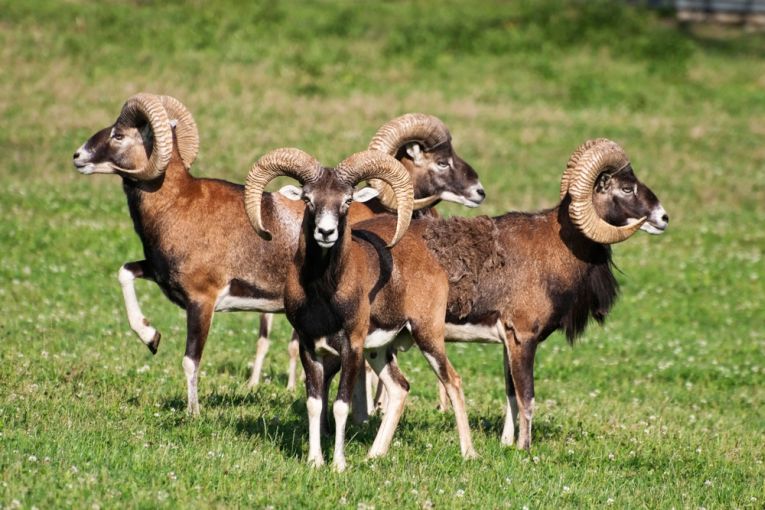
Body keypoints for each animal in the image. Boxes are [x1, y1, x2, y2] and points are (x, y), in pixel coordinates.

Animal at [72, 94, 484, 416]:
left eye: (118, 134)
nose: (78, 156)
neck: (176, 205)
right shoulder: (157, 275)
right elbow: (125, 272)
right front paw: (150, 337)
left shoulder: (201, 300)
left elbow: (191, 360)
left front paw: (193, 412)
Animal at [243, 148, 476, 470]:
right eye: (308, 199)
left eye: (347, 201)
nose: (326, 232)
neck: (323, 296)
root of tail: (430, 257)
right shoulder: (309, 346)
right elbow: (315, 403)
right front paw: (315, 461)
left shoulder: (351, 347)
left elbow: (341, 405)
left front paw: (338, 465)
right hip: (379, 350)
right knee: (399, 388)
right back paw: (374, 455)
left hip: (428, 337)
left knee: (452, 381)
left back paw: (469, 453)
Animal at [350, 139, 669, 449]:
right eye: (626, 188)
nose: (663, 218)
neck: (556, 250)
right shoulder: (523, 338)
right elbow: (527, 397)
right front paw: (523, 449)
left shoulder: (508, 342)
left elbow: (511, 394)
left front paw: (506, 443)